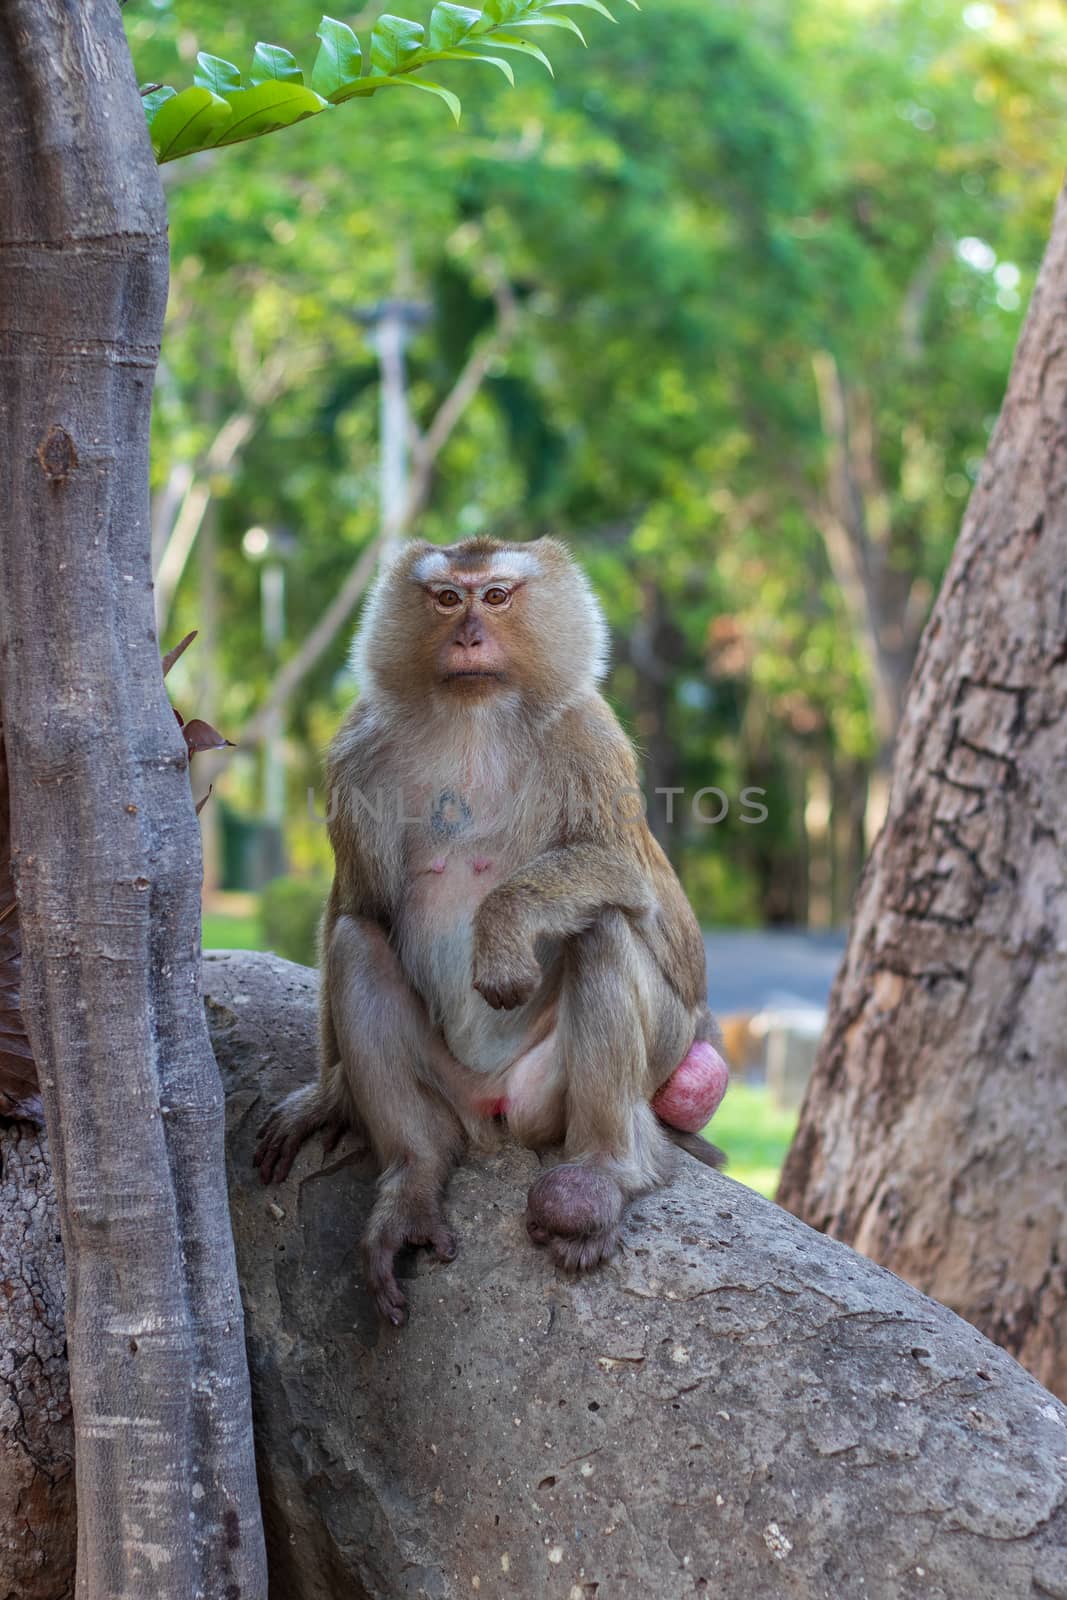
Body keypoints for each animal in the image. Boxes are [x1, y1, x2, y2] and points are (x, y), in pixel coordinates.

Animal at [254, 537, 729, 1324]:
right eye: (448, 598)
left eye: (497, 597)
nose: (469, 638)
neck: (474, 717)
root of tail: (493, 1115)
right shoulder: (355, 750)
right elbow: (360, 906)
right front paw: (326, 1097)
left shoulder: (587, 731)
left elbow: (619, 872)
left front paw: (502, 931)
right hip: (450, 1089)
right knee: (357, 947)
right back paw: (413, 1177)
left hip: (564, 1090)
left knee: (601, 927)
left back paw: (603, 1174)